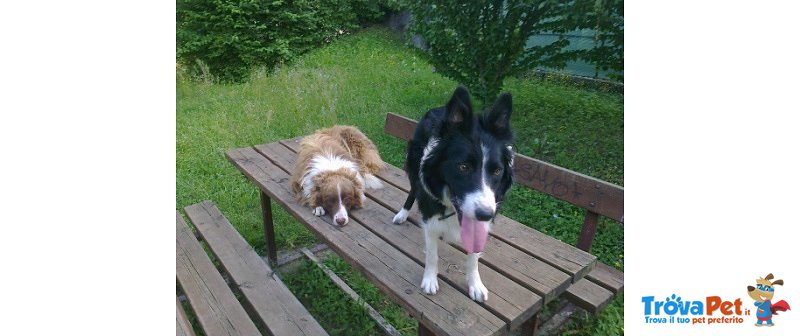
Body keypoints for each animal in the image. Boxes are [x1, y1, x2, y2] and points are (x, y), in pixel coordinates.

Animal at [392, 86, 516, 302]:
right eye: (463, 167)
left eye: (497, 171)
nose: (486, 215)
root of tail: (439, 108)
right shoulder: (430, 214)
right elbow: (432, 253)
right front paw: (430, 280)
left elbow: (473, 256)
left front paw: (475, 284)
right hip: (414, 165)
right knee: (413, 189)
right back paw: (402, 214)